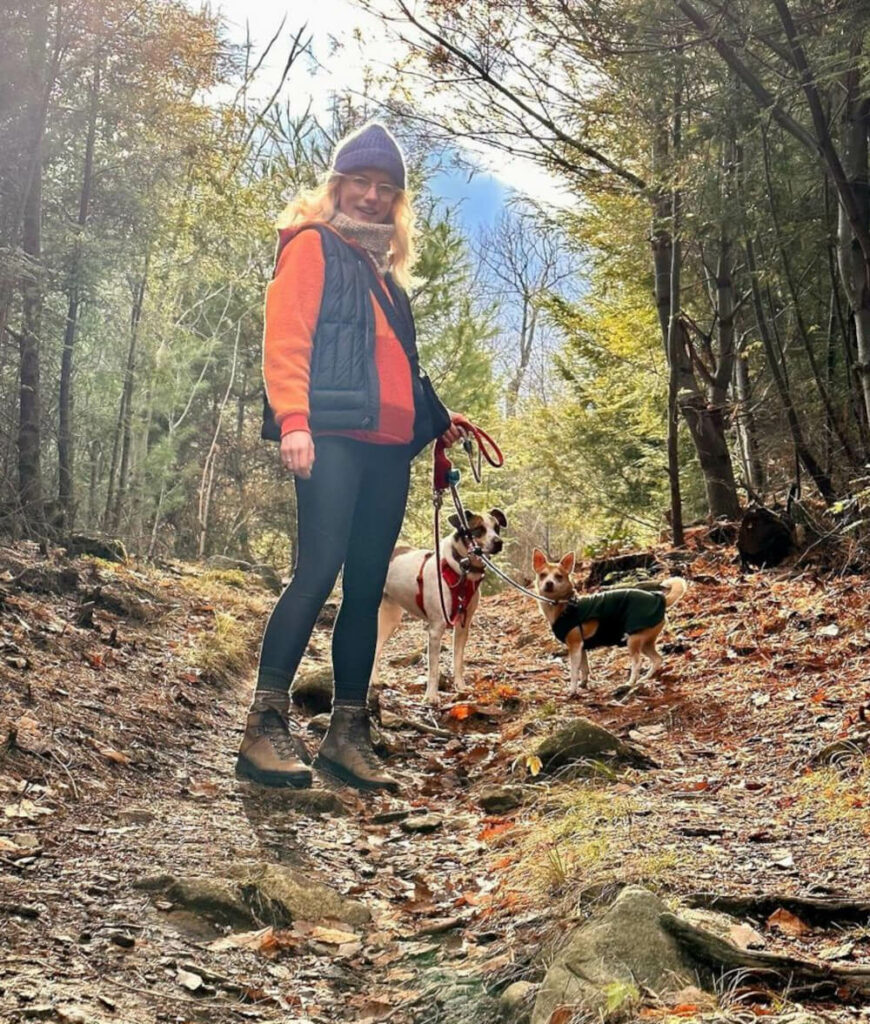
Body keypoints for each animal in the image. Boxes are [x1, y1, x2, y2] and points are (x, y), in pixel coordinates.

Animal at [370, 509, 505, 704]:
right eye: (478, 529)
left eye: (497, 528)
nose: (499, 542)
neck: (462, 569)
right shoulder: (435, 629)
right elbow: (433, 668)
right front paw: (431, 696)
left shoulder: (463, 626)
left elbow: (458, 660)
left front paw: (460, 686)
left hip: (391, 619)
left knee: (376, 648)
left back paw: (374, 680)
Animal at [528, 552, 683, 696]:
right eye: (543, 575)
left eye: (559, 576)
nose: (549, 583)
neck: (565, 606)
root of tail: (661, 599)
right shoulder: (581, 648)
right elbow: (584, 668)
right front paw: (583, 684)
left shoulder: (575, 646)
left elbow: (574, 672)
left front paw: (572, 690)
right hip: (645, 642)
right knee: (657, 659)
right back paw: (644, 679)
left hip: (634, 640)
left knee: (637, 663)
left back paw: (630, 683)